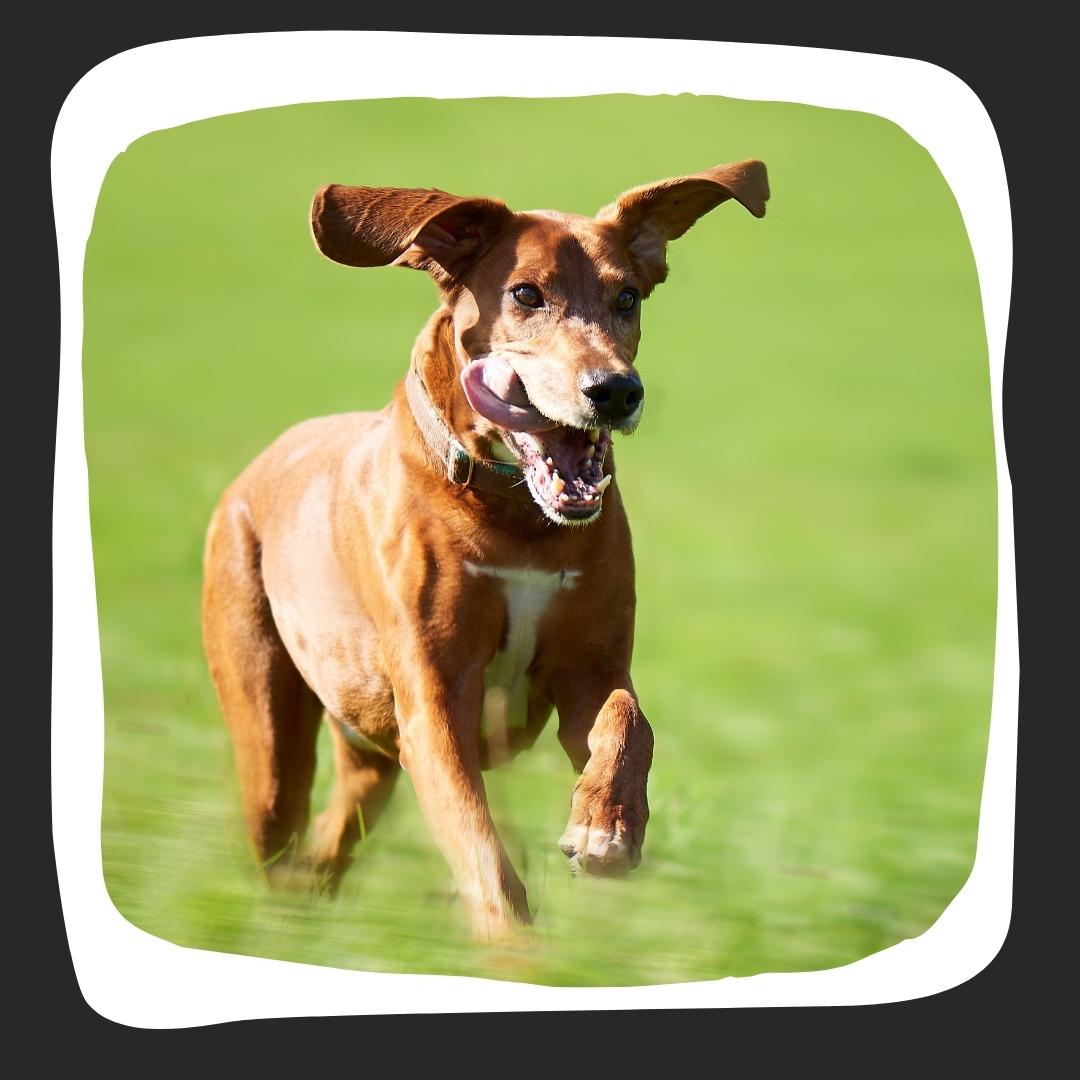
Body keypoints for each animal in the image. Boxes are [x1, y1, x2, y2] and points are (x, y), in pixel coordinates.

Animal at [198, 162, 764, 937]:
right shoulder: (434, 702)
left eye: (626, 297)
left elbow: (629, 723)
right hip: (266, 718)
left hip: (366, 750)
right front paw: (514, 941)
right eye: (525, 294)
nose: (616, 390)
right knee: (280, 817)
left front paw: (606, 828)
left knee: (336, 831)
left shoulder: (589, 668)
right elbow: (479, 845)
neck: (515, 516)